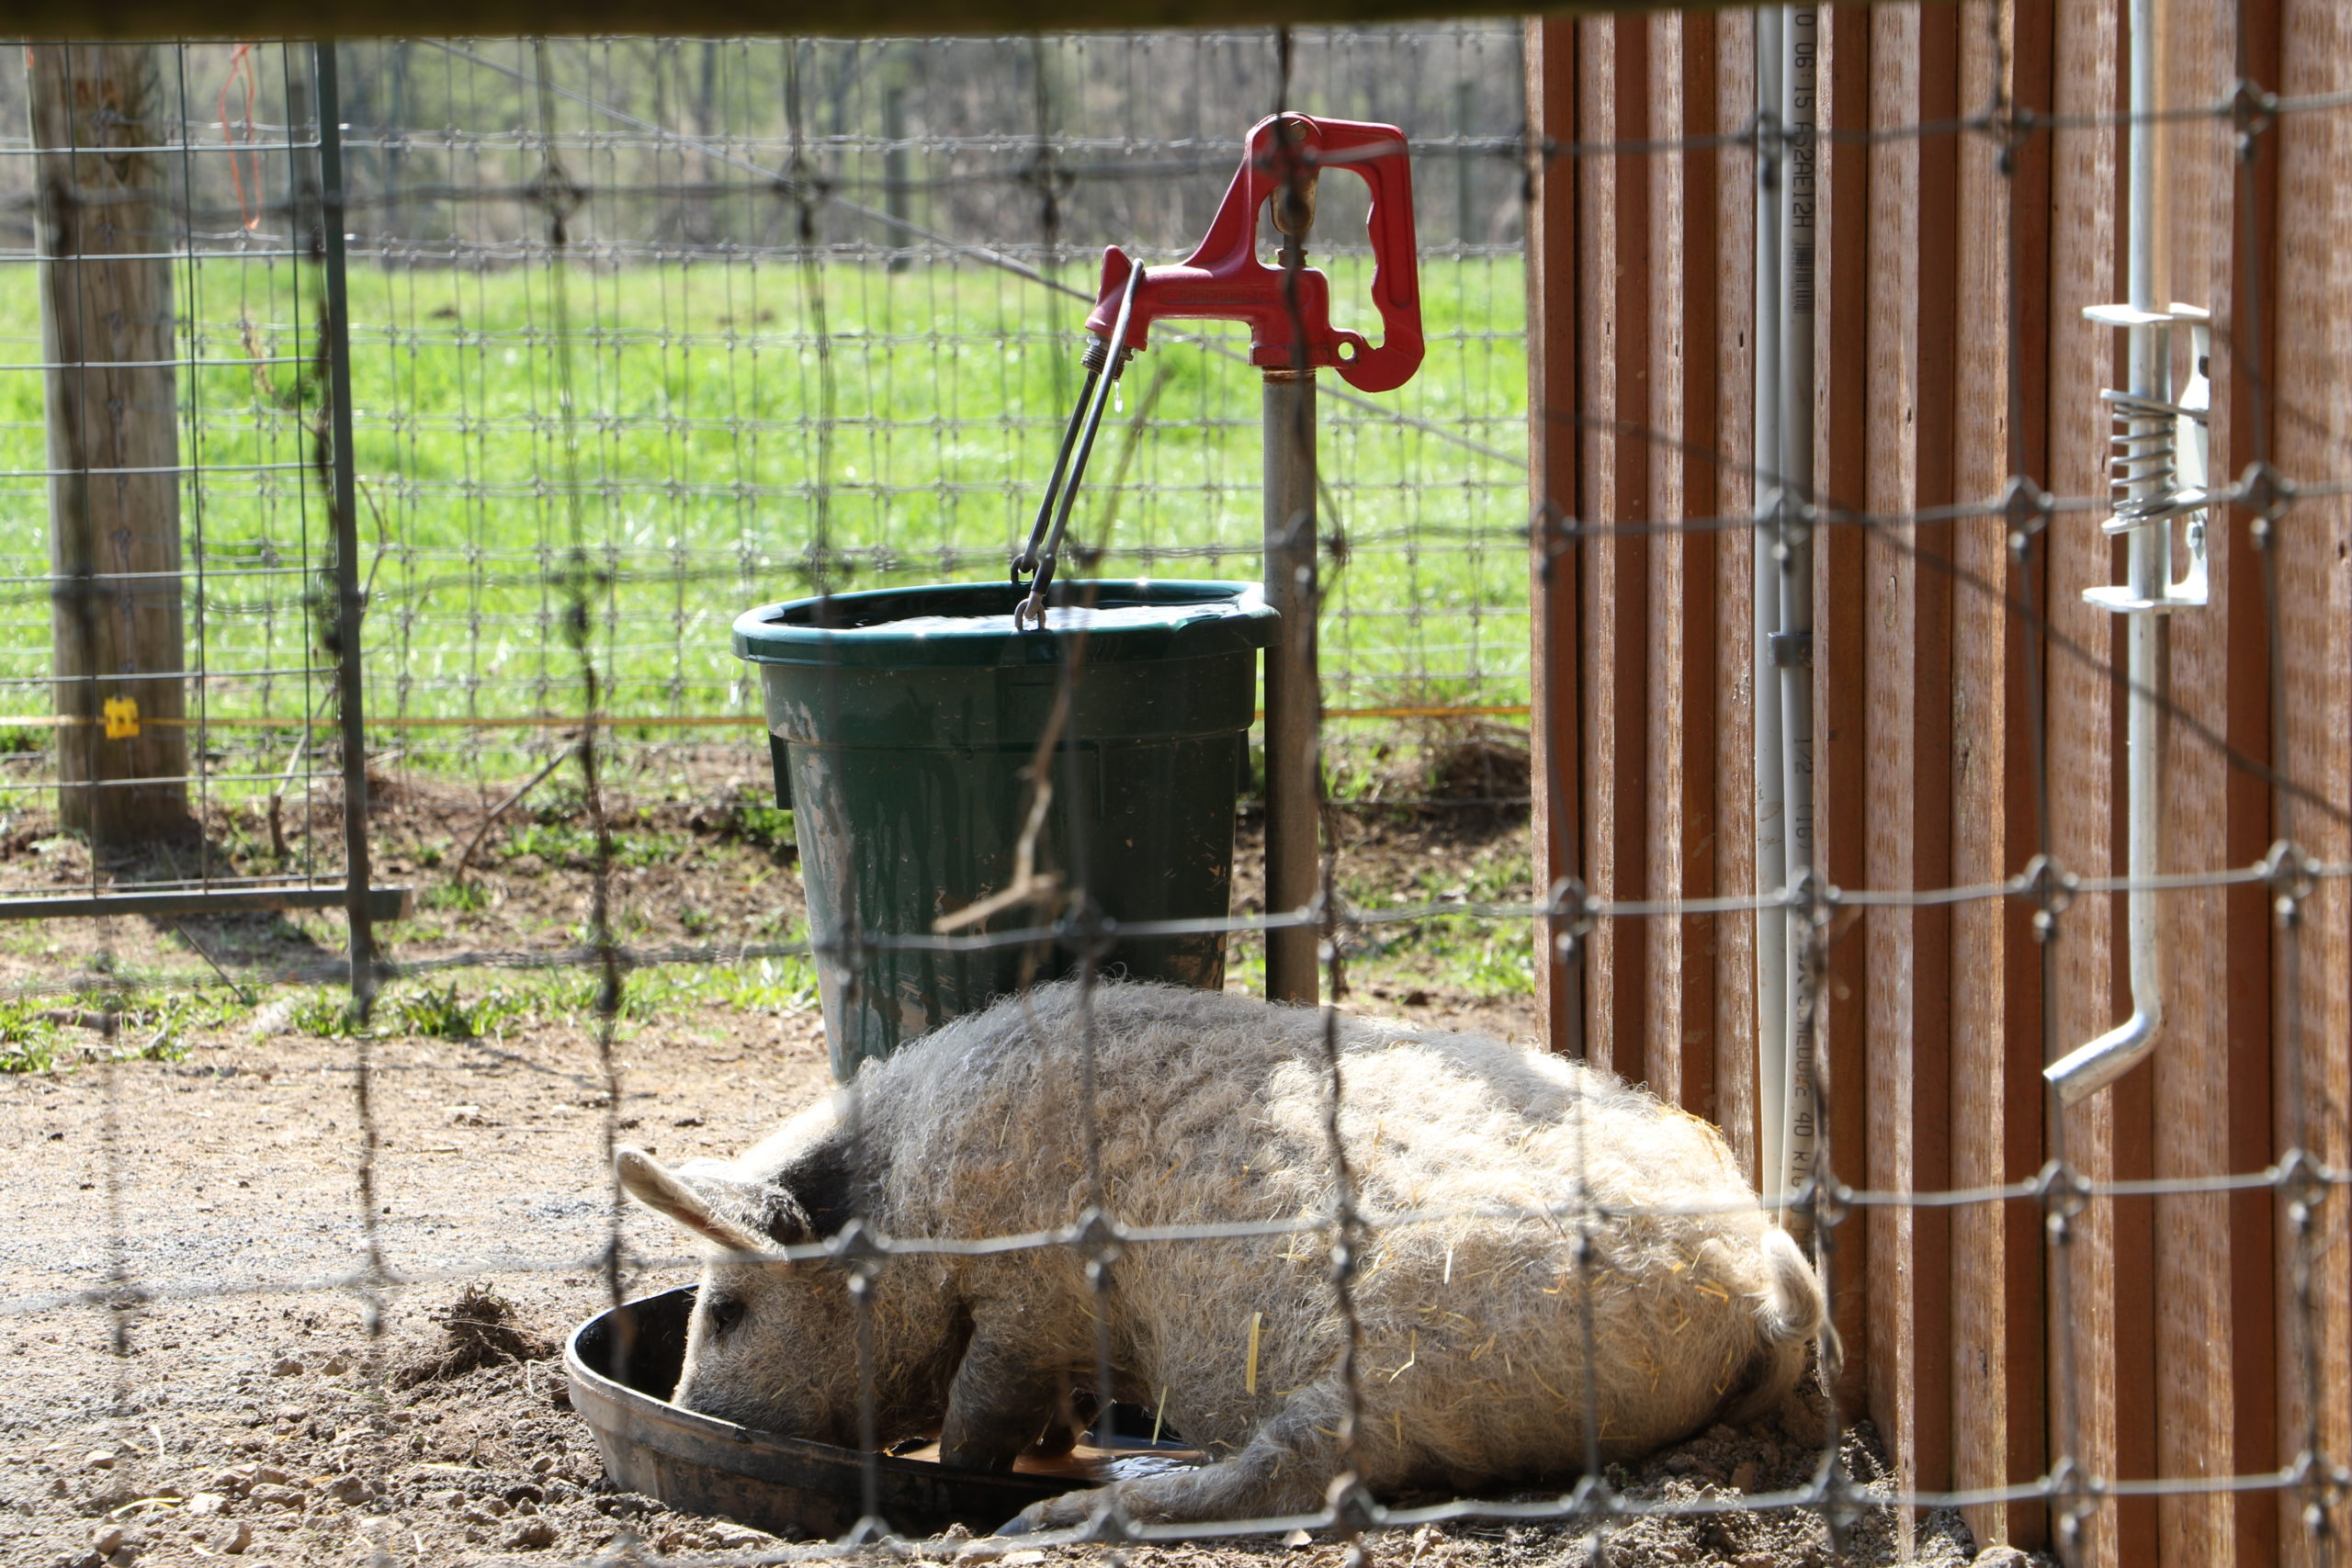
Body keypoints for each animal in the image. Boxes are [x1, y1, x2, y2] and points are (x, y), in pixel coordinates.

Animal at [616, 982, 1825, 1532]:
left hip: (1380, 1372)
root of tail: (1752, 1286)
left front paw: (977, 1483)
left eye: (726, 1310)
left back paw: (1051, 1523)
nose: (694, 1415)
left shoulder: (1026, 1295)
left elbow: (981, 1408)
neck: (908, 1199)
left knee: (1278, 1477)